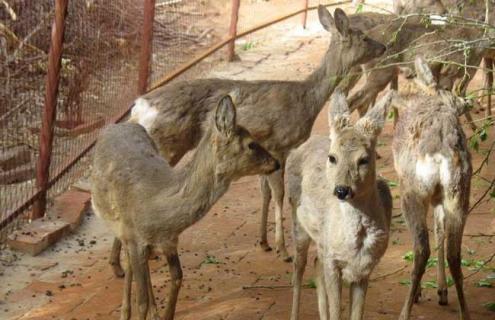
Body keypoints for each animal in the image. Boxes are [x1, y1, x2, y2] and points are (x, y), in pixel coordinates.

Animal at [91, 95, 280, 320]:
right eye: (251, 144)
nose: (276, 163)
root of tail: (116, 125)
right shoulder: (134, 237)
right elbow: (142, 301)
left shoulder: (169, 240)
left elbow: (177, 277)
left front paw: (164, 315)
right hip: (118, 226)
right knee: (131, 265)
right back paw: (126, 310)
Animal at [106, 5, 388, 276]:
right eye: (364, 37)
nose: (384, 47)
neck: (306, 100)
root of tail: (138, 107)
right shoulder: (279, 144)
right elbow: (278, 194)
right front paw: (282, 249)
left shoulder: (267, 152)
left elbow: (265, 193)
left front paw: (264, 242)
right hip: (167, 144)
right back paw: (124, 262)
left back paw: (123, 262)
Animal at [286, 90, 396, 320]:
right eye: (332, 157)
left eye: (364, 159)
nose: (341, 190)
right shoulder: (333, 260)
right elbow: (337, 311)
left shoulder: (365, 268)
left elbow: (356, 314)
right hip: (296, 216)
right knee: (299, 267)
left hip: (321, 242)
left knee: (315, 264)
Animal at [392, 57, 472, 320]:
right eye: (447, 88)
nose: (465, 102)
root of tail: (440, 153)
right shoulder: (439, 197)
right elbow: (439, 229)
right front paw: (441, 291)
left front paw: (426, 292)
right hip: (459, 191)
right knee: (454, 253)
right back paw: (464, 312)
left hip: (412, 192)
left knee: (421, 248)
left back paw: (405, 310)